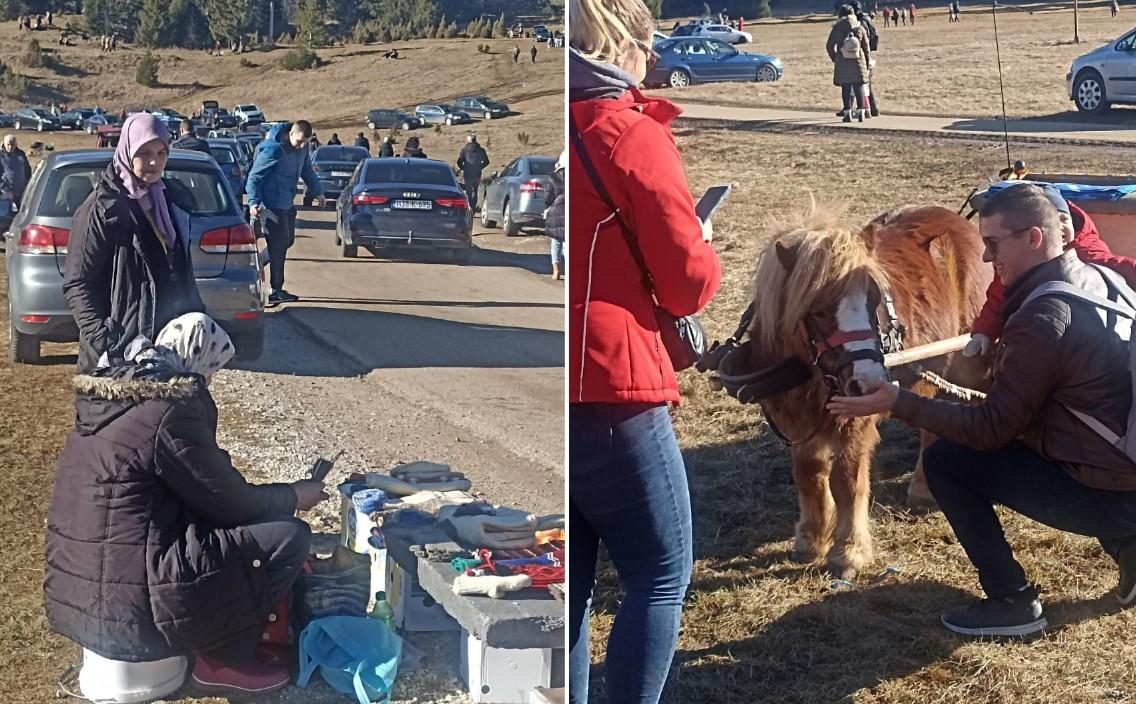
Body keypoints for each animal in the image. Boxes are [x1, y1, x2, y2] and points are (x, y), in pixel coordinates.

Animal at [749, 202, 990, 576]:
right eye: (817, 310)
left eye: (874, 299)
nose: (869, 379)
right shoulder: (796, 422)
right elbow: (808, 474)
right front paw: (812, 538)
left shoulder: (854, 421)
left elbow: (847, 480)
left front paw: (849, 551)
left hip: (966, 364)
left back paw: (923, 489)